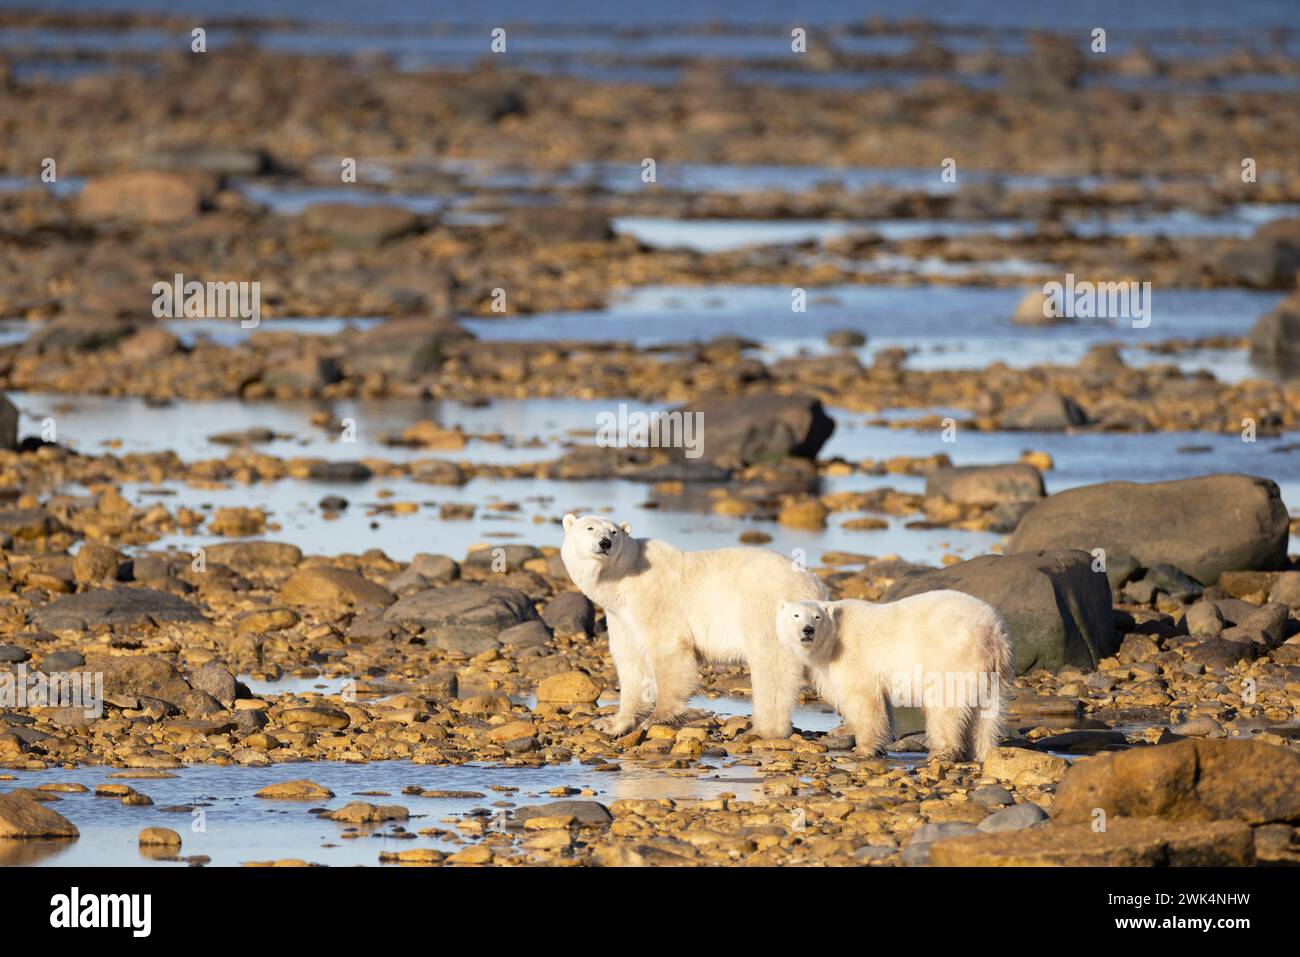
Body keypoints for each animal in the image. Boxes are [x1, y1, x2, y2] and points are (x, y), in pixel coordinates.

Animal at [561, 513, 826, 738]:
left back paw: (765, 729)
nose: (605, 543)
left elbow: (667, 650)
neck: (622, 577)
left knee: (771, 664)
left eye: (614, 531)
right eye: (589, 528)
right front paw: (610, 723)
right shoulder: (620, 616)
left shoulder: (654, 598)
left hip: (767, 606)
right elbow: (631, 662)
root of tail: (815, 583)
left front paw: (657, 718)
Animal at [776, 591, 1013, 761]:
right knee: (988, 712)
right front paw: (842, 732)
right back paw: (982, 752)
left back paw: (941, 751)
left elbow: (863, 699)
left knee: (945, 706)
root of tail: (992, 634)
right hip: (996, 672)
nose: (808, 630)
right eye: (795, 615)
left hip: (953, 659)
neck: (834, 638)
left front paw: (862, 749)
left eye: (817, 617)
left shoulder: (854, 657)